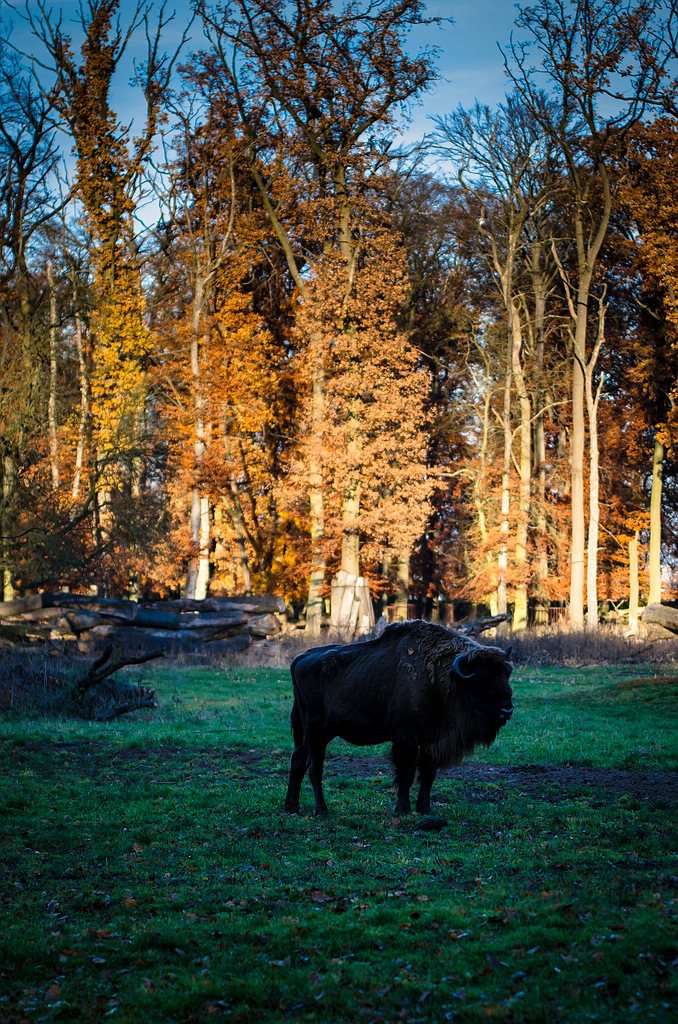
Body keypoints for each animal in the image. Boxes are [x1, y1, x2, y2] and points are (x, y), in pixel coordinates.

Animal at [284, 620, 514, 816]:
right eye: (481, 679)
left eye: (507, 674)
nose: (507, 711)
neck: (444, 678)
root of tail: (299, 659)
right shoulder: (405, 736)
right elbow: (406, 773)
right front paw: (403, 809)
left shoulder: (431, 741)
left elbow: (428, 775)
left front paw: (424, 809)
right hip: (315, 729)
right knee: (314, 767)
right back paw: (321, 810)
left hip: (319, 733)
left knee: (298, 761)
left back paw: (292, 807)